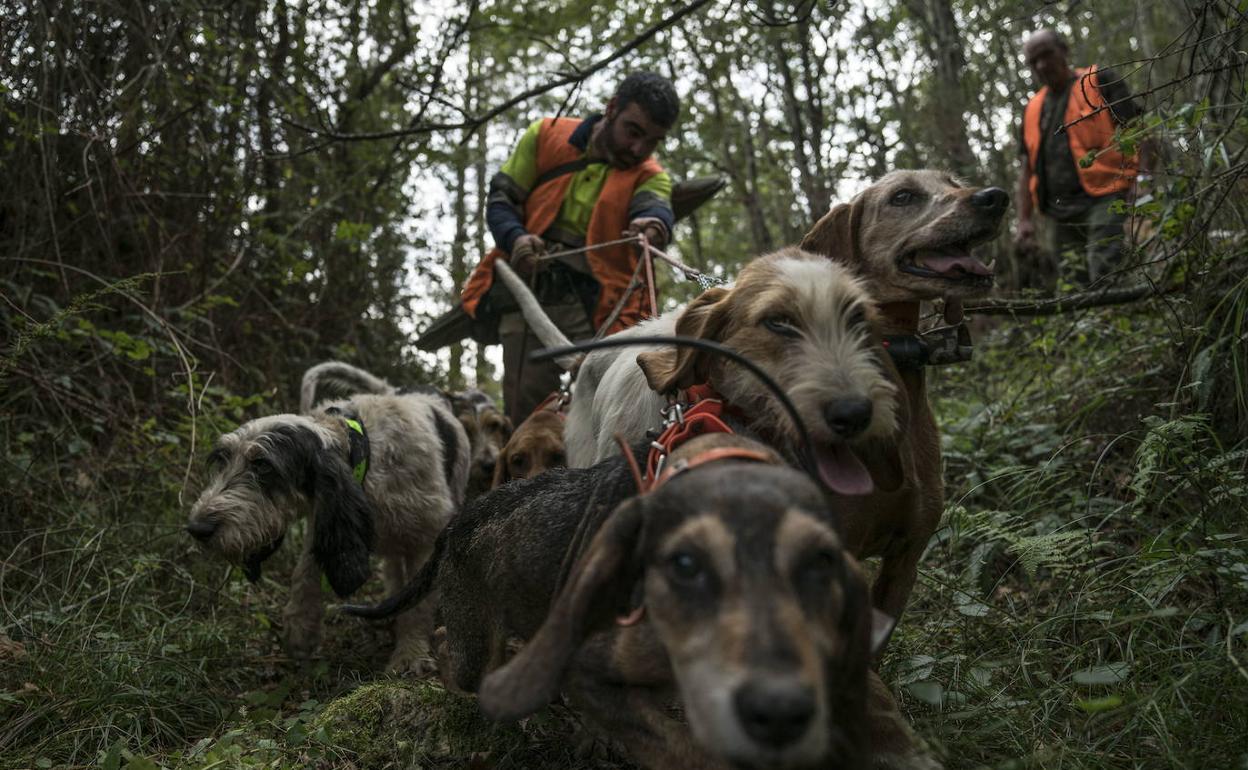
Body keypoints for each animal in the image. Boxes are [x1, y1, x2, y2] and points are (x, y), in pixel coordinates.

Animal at [187, 394, 469, 668]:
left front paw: (411, 654)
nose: (197, 528)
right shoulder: (323, 520)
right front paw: (300, 628)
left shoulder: (426, 538)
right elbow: (305, 573)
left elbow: (417, 603)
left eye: (263, 465)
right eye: (223, 459)